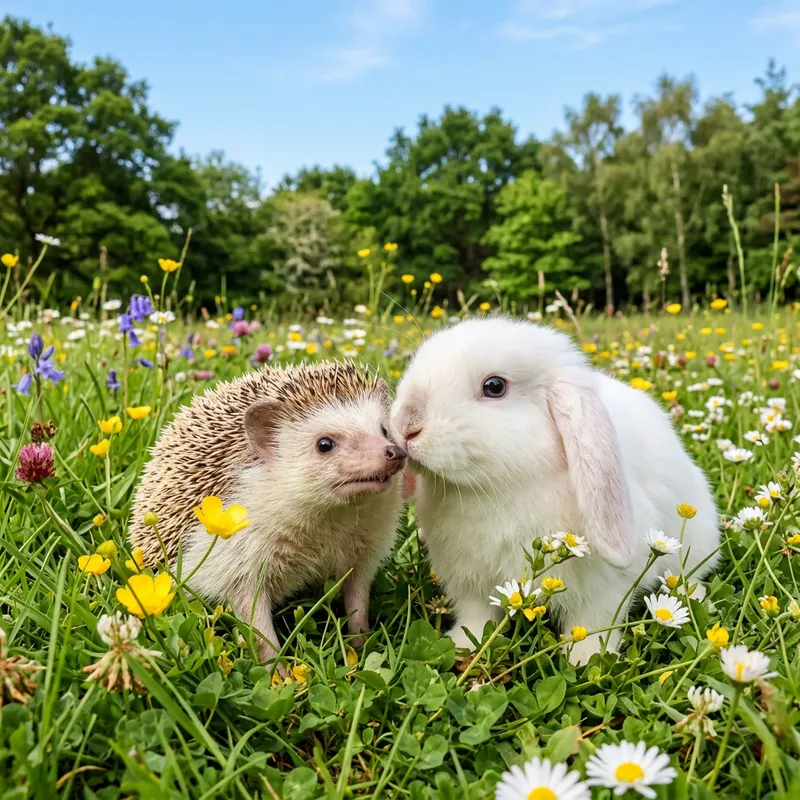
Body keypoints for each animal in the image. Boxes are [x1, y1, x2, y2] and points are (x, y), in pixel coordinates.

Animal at [390, 317, 720, 663]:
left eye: (494, 386)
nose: (406, 425)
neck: (501, 489)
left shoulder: (604, 588)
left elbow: (593, 622)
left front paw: (584, 659)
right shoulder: (469, 582)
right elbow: (476, 617)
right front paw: (463, 645)